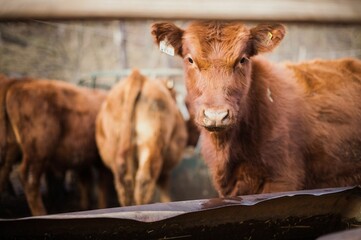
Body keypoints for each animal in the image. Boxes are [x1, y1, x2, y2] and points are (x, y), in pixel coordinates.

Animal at [0, 76, 108, 215]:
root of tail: (15, 86)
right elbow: (101, 184)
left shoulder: (85, 158)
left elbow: (88, 181)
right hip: (38, 151)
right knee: (29, 178)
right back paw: (41, 213)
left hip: (12, 147)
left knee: (4, 170)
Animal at [95, 69, 186, 206]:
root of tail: (138, 76)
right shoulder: (165, 171)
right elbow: (165, 190)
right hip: (152, 146)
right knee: (144, 181)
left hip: (118, 148)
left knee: (126, 184)